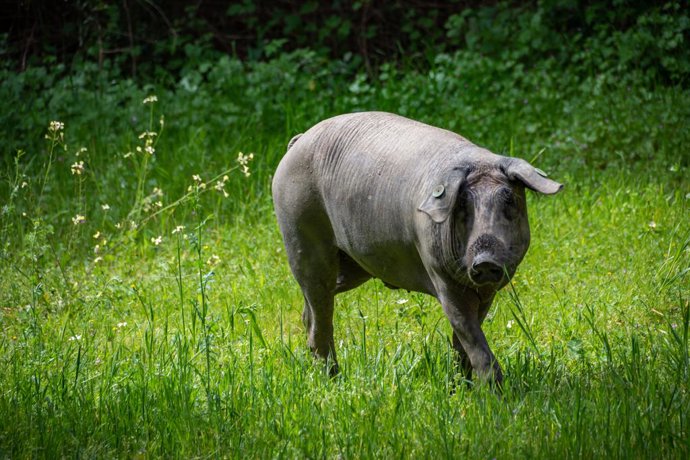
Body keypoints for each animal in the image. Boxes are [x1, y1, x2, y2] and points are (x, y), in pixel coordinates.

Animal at [272, 112, 562, 385]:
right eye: (463, 205)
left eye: (509, 200)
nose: (485, 260)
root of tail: (298, 141)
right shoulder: (440, 276)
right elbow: (469, 335)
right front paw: (495, 394)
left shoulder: (487, 291)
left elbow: (463, 342)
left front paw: (462, 386)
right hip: (301, 234)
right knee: (319, 311)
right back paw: (333, 379)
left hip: (353, 266)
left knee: (311, 310)